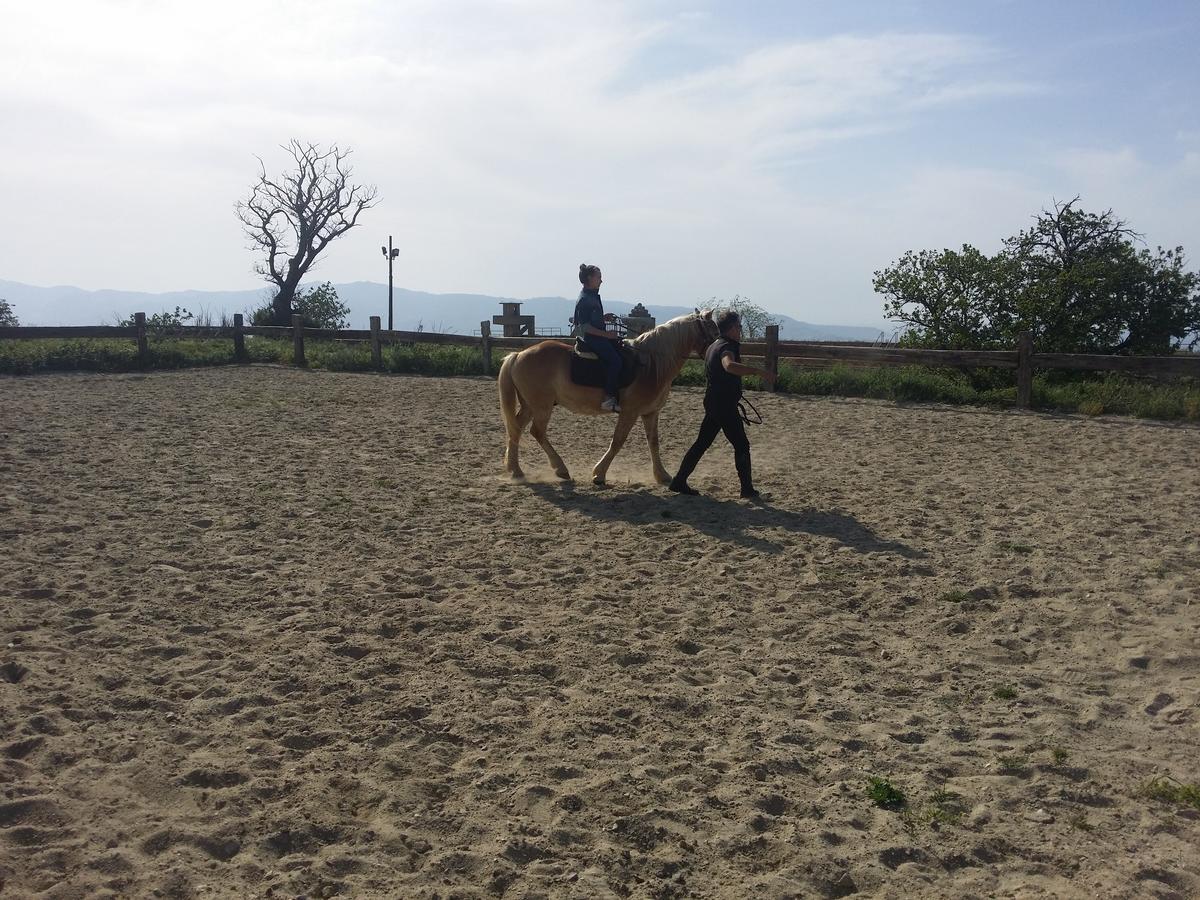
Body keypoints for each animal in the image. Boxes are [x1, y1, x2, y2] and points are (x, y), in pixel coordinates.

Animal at [499, 314, 720, 489]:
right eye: (714, 333)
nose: (719, 351)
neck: (651, 365)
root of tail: (518, 354)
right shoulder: (629, 412)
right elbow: (617, 441)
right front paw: (599, 474)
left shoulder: (650, 412)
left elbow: (654, 443)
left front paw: (662, 475)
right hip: (541, 406)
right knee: (536, 432)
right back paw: (560, 469)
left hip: (530, 406)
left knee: (516, 429)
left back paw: (516, 471)